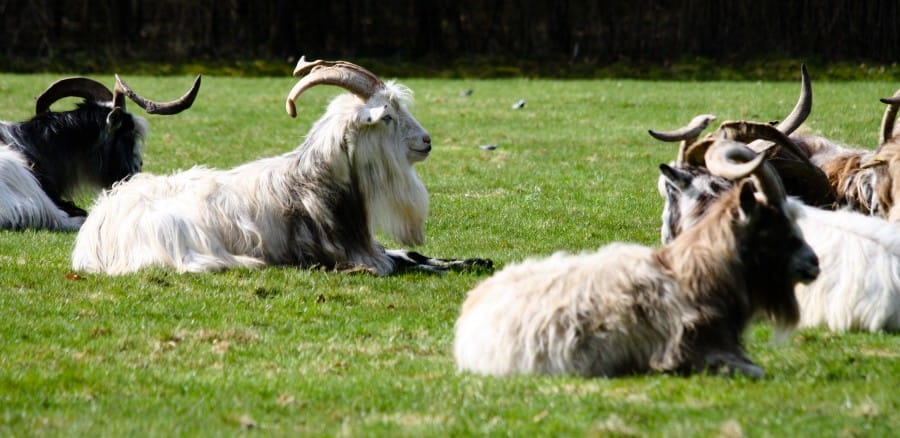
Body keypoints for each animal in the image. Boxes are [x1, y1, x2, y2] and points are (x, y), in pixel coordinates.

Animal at [71, 57, 492, 276]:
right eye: (387, 117)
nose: (426, 141)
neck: (312, 183)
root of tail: (95, 235)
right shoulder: (345, 256)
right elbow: (400, 264)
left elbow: (411, 256)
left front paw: (478, 260)